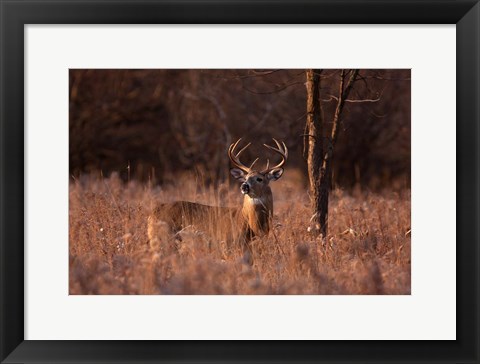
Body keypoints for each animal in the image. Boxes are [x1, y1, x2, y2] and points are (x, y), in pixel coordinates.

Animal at [147, 137, 288, 258]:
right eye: (246, 178)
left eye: (259, 179)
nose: (244, 186)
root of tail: (152, 213)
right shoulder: (228, 243)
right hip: (163, 239)